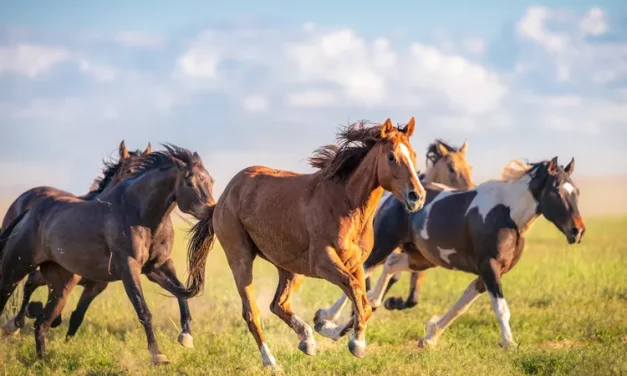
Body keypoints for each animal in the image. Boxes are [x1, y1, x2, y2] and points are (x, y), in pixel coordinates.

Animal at [188, 118, 426, 368]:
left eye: (413, 154)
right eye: (391, 156)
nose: (417, 196)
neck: (346, 205)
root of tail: (224, 197)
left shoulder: (355, 264)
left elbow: (364, 302)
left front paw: (328, 327)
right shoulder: (323, 263)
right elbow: (356, 292)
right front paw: (356, 343)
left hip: (291, 268)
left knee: (278, 304)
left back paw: (307, 341)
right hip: (241, 259)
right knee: (252, 312)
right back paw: (271, 362)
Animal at [318, 140, 476, 322]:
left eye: (469, 167)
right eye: (451, 168)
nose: (470, 190)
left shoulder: (419, 257)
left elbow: (411, 296)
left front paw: (391, 302)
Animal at [366, 157, 588, 348]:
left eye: (576, 192)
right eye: (556, 191)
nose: (577, 231)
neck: (507, 215)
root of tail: (390, 197)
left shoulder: (488, 273)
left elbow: (460, 307)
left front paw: (429, 337)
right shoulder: (489, 267)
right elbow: (501, 309)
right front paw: (509, 343)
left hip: (421, 258)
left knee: (390, 264)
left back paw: (375, 302)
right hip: (383, 246)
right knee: (365, 269)